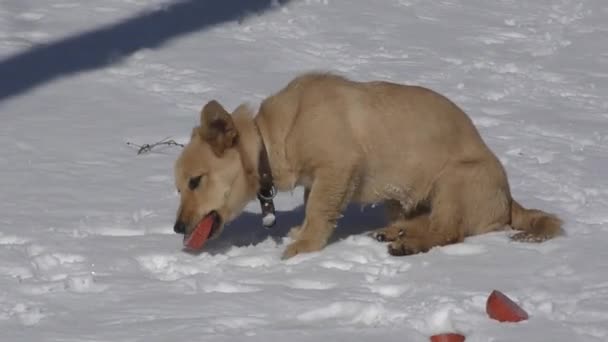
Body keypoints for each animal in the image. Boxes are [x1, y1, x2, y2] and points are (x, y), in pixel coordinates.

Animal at [173, 73, 564, 260]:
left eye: (195, 181)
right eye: (179, 187)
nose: (177, 228)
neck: (273, 139)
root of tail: (510, 200)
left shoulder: (338, 168)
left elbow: (319, 210)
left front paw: (303, 246)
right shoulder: (320, 178)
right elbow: (312, 206)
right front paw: (300, 233)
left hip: (454, 178)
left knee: (447, 231)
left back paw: (408, 244)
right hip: (402, 196)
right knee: (428, 222)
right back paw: (398, 231)